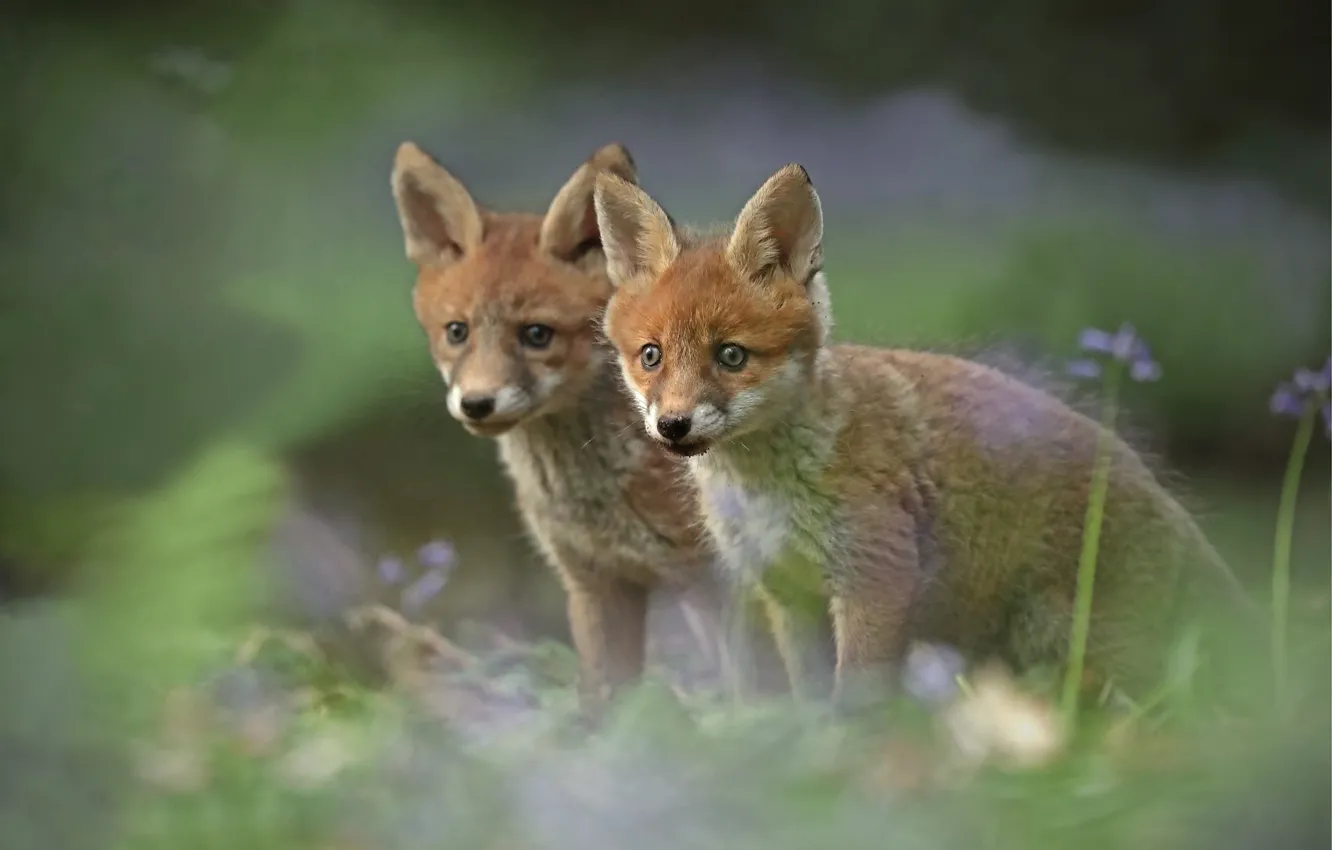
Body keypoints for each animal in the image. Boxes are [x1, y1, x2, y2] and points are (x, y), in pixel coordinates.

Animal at [388, 141, 784, 723]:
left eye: (537, 334)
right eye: (456, 332)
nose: (477, 403)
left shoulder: (715, 579)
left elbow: (751, 695)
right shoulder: (595, 584)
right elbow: (603, 704)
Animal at [592, 163, 1258, 710]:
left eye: (730, 356)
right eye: (651, 356)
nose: (672, 425)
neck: (765, 491)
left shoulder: (876, 578)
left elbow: (854, 699)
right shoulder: (787, 592)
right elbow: (809, 700)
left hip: (1061, 639)